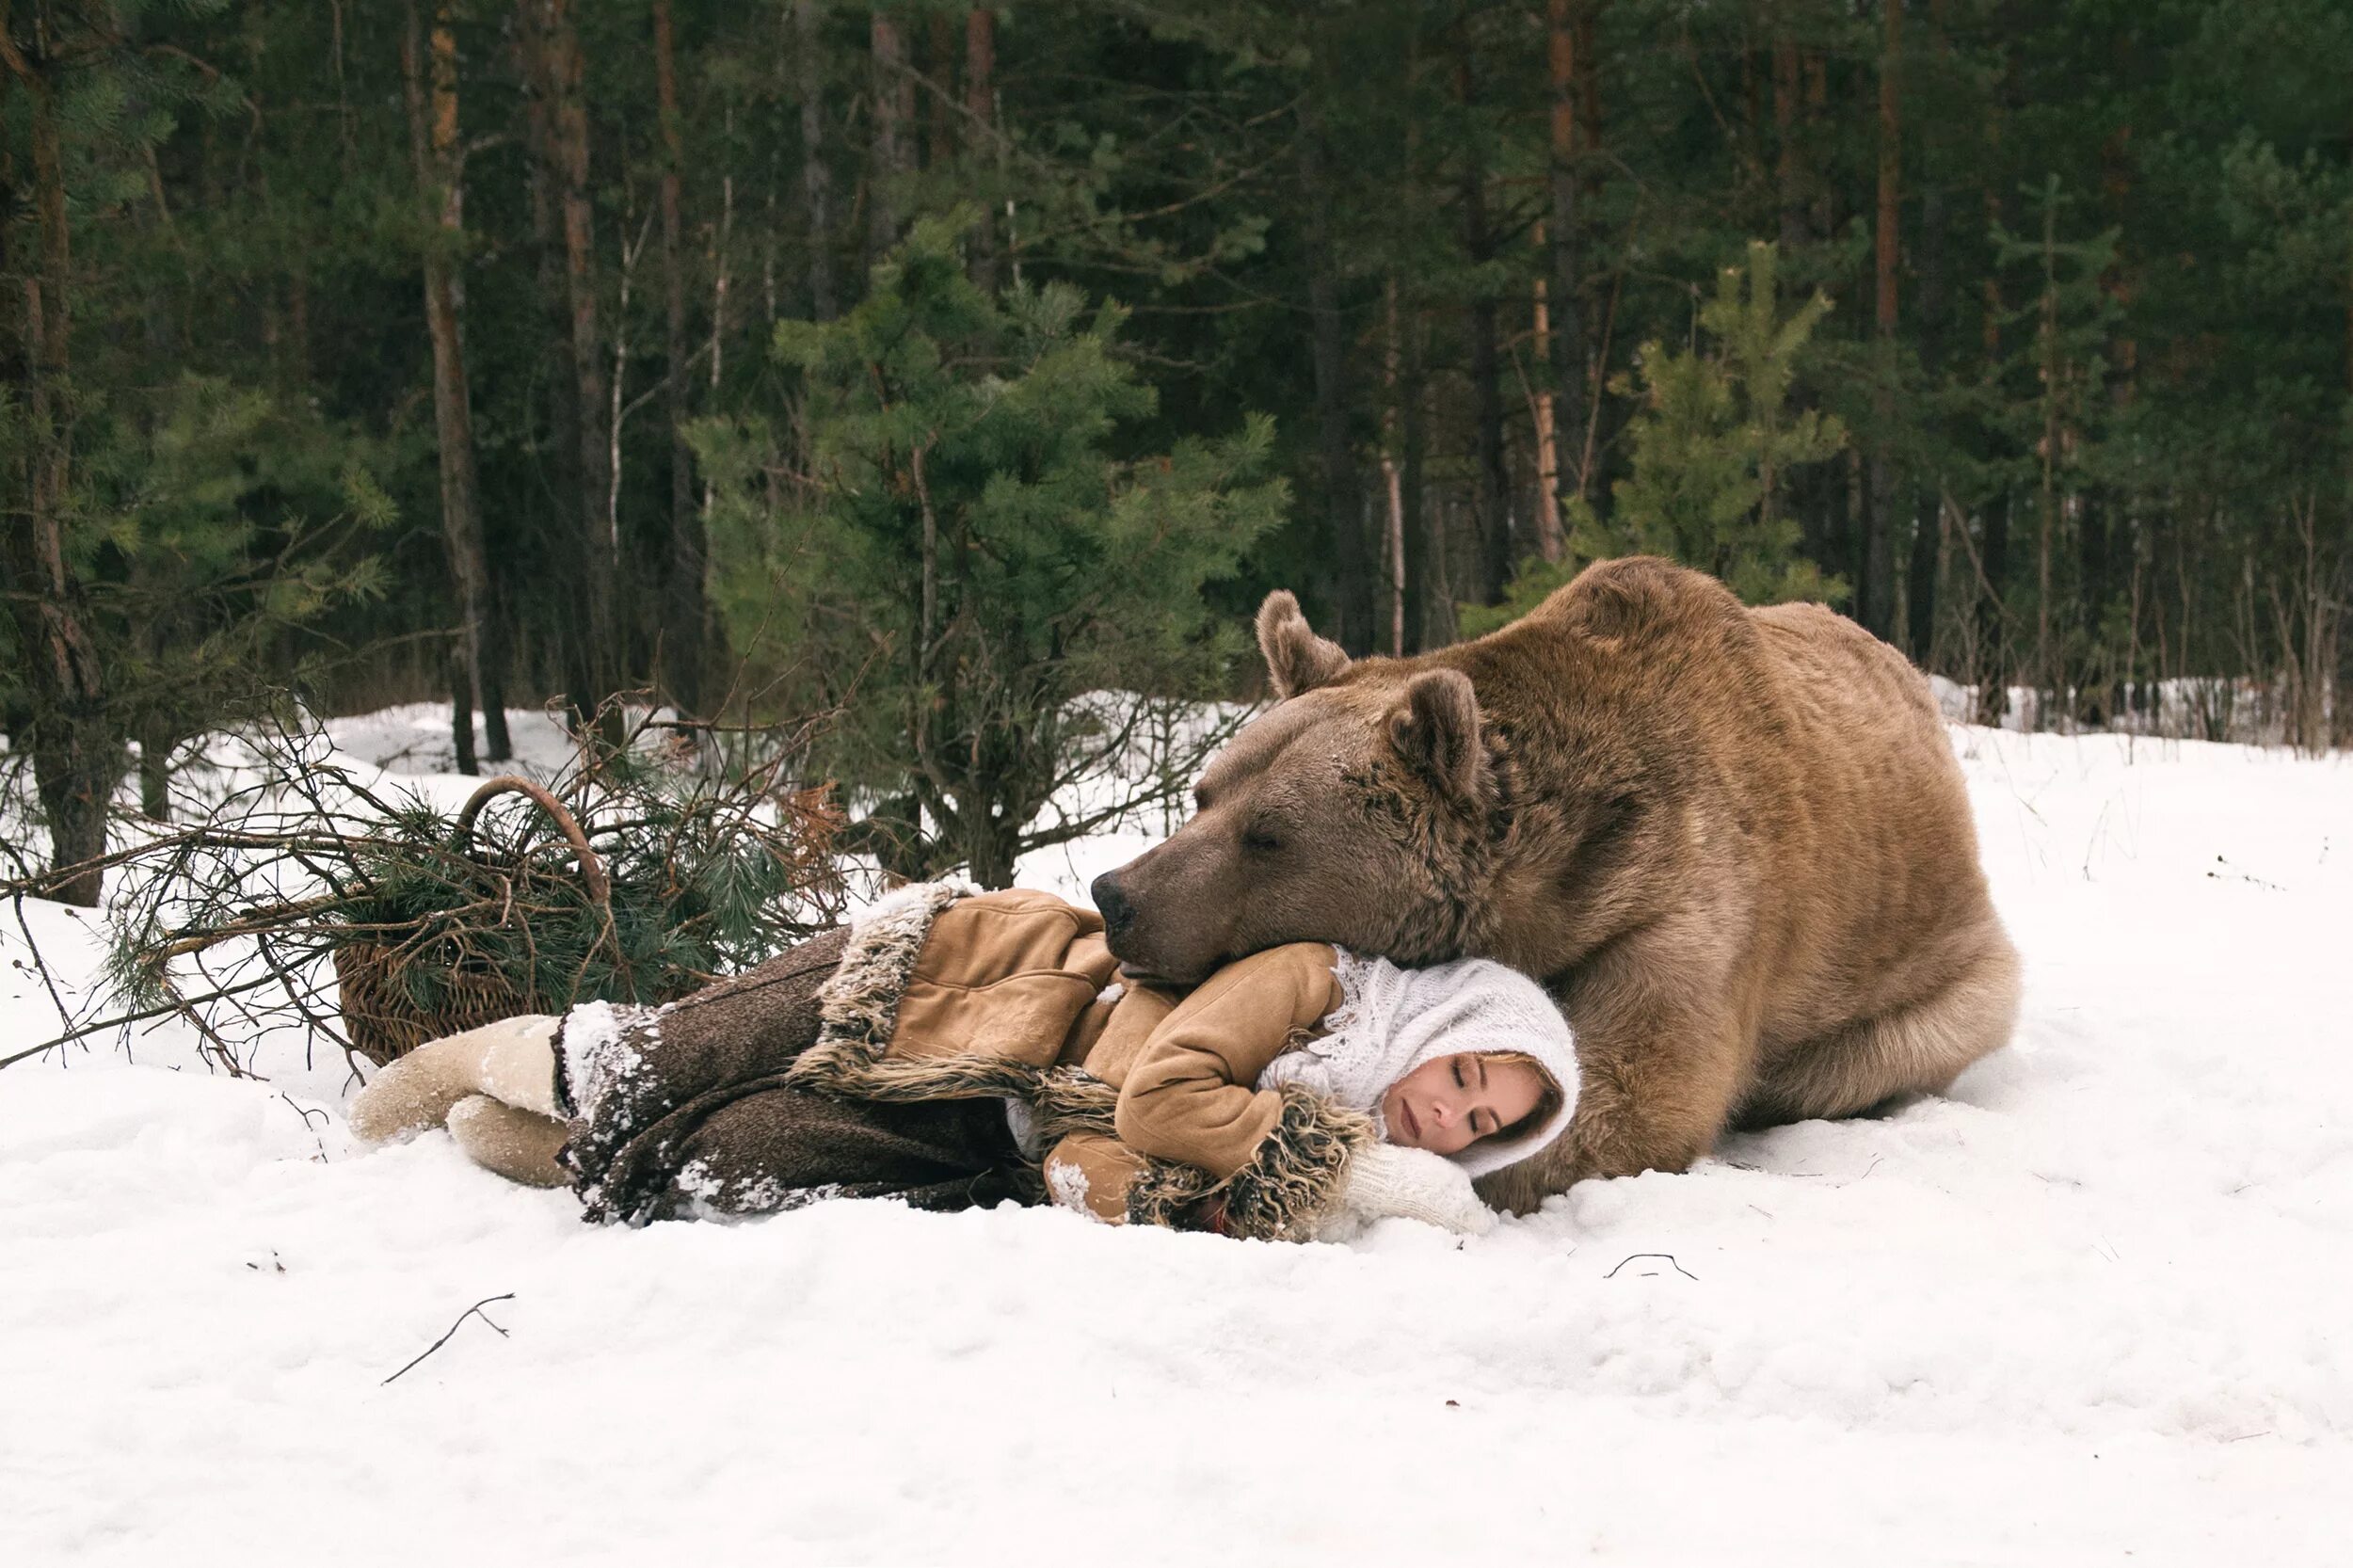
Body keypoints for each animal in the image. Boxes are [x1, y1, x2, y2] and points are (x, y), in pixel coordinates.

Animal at [1087, 552, 2024, 1205]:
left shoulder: (1682, 905)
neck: (1548, 892)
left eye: (1269, 836)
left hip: (1930, 983)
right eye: (1205, 794)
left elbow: (1629, 1097)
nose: (1118, 896)